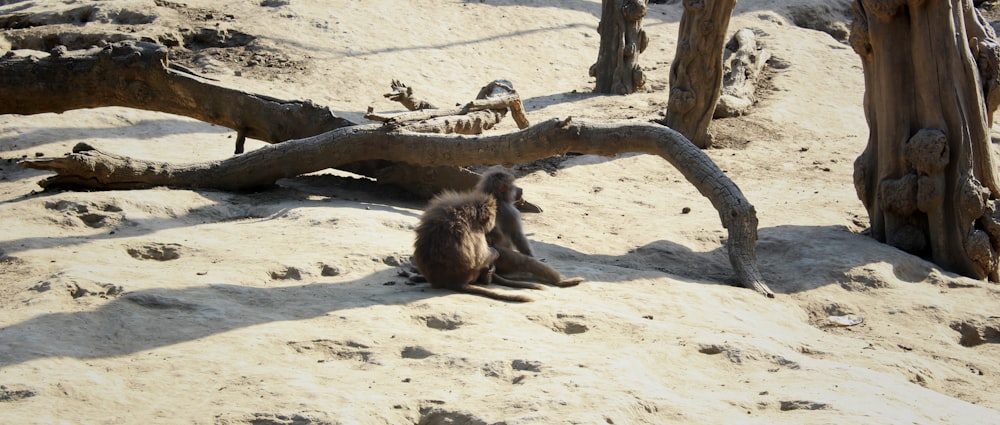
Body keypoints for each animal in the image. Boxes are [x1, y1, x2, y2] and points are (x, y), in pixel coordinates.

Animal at [412, 189, 544, 302]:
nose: (491, 226)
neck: (465, 210)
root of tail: (452, 281)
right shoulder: (476, 231)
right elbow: (481, 256)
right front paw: (494, 253)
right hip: (471, 274)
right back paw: (487, 276)